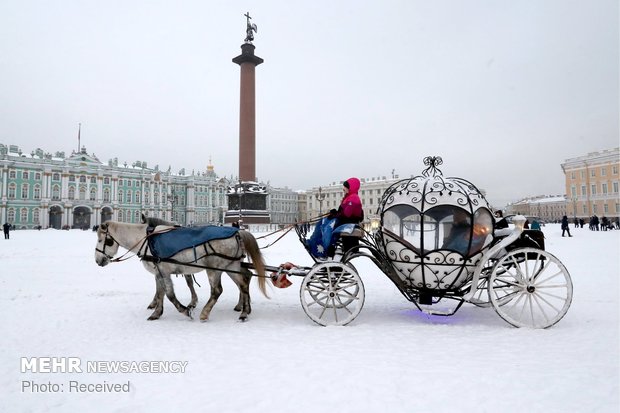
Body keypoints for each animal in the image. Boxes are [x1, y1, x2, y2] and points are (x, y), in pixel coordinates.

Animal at [94, 220, 266, 320]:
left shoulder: (164, 271)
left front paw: (185, 310)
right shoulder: (159, 273)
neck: (147, 240)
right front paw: (156, 313)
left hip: (214, 269)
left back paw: (205, 313)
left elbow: (170, 294)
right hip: (231, 266)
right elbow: (160, 293)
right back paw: (244, 312)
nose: (97, 261)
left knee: (218, 290)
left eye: (103, 240)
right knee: (243, 283)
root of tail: (237, 232)